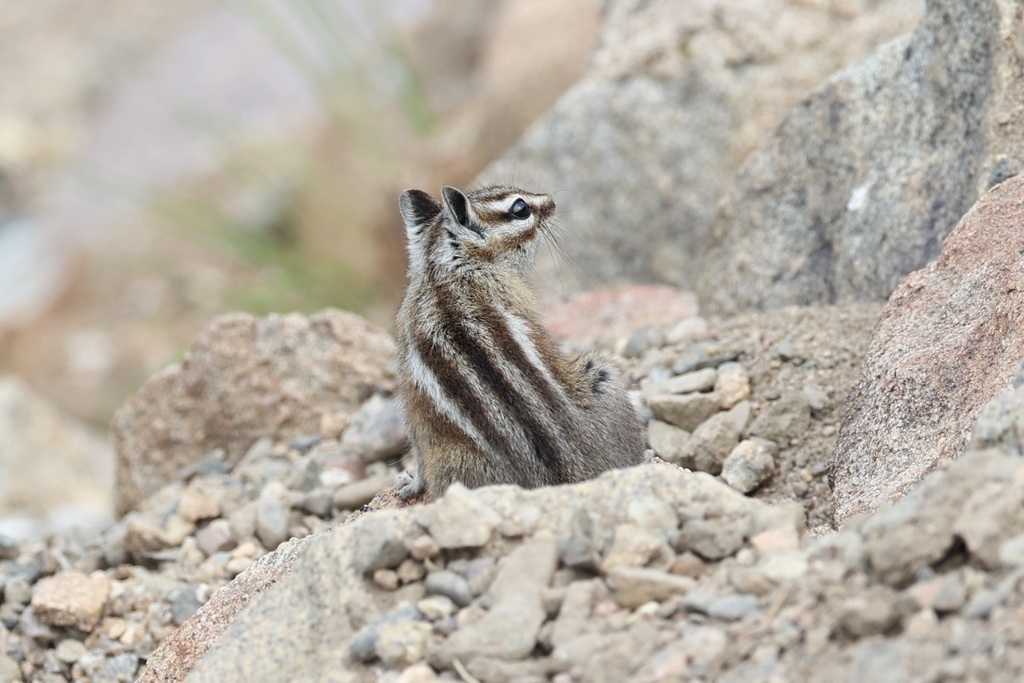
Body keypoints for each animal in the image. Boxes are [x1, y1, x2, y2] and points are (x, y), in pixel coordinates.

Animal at [393, 184, 647, 500]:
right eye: (520, 208)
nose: (552, 202)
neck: (442, 270)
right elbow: (416, 445)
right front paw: (411, 483)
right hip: (603, 374)